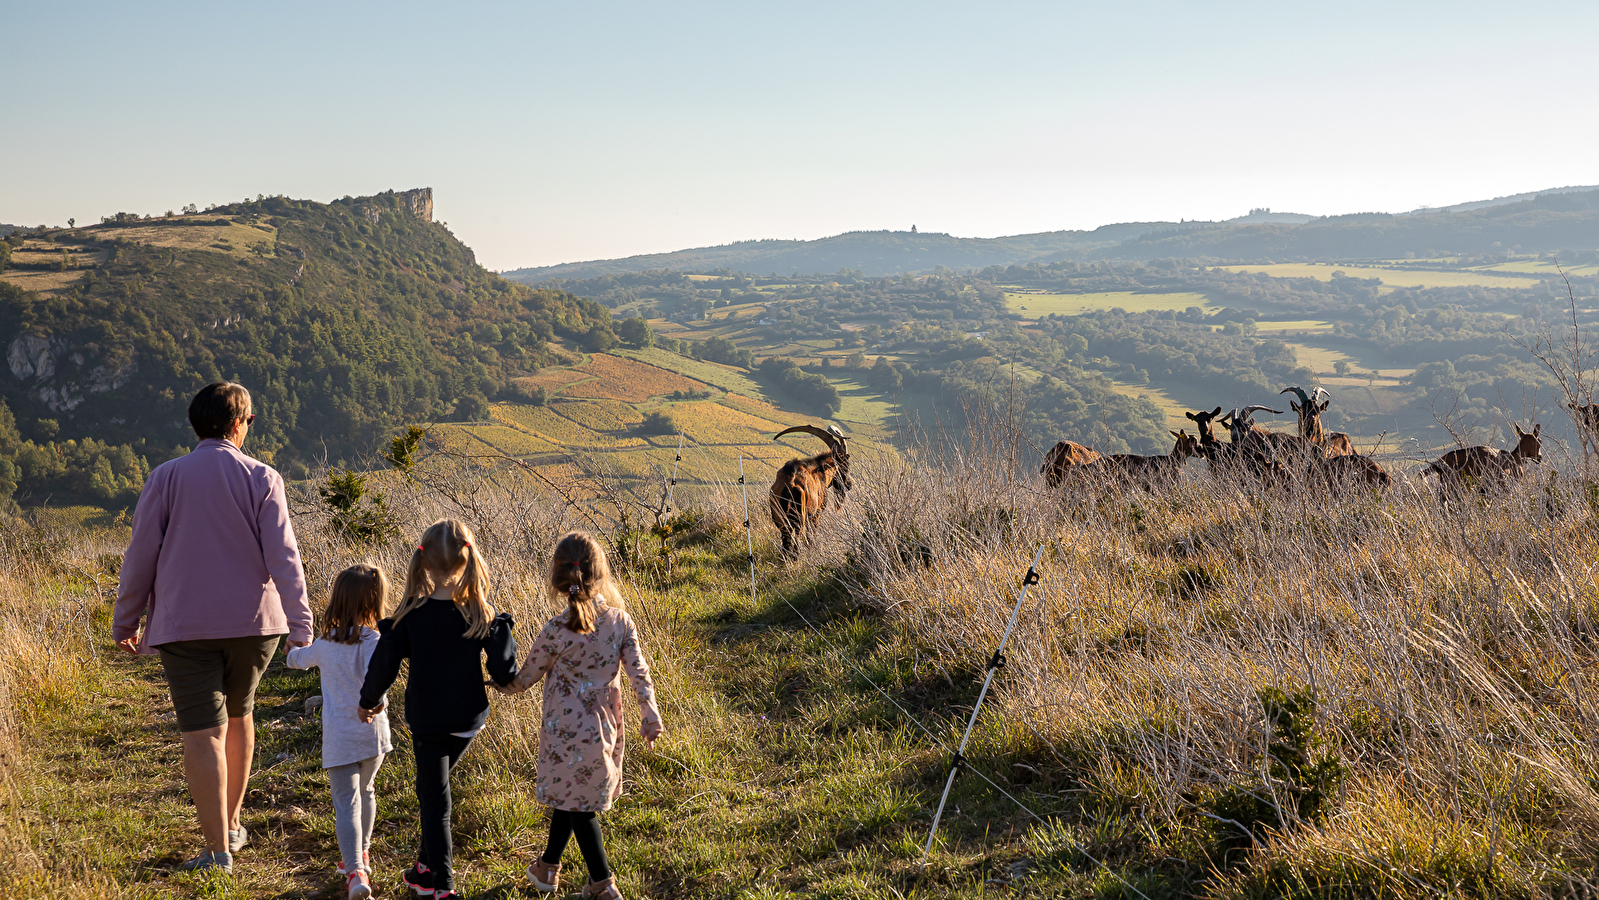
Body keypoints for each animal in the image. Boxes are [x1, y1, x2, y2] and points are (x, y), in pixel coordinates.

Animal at [770, 425, 857, 559]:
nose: (849, 485)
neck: (820, 471)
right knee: (797, 537)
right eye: (845, 466)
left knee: (786, 539)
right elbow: (812, 534)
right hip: (800, 515)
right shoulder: (817, 512)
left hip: (779, 517)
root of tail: (788, 484)